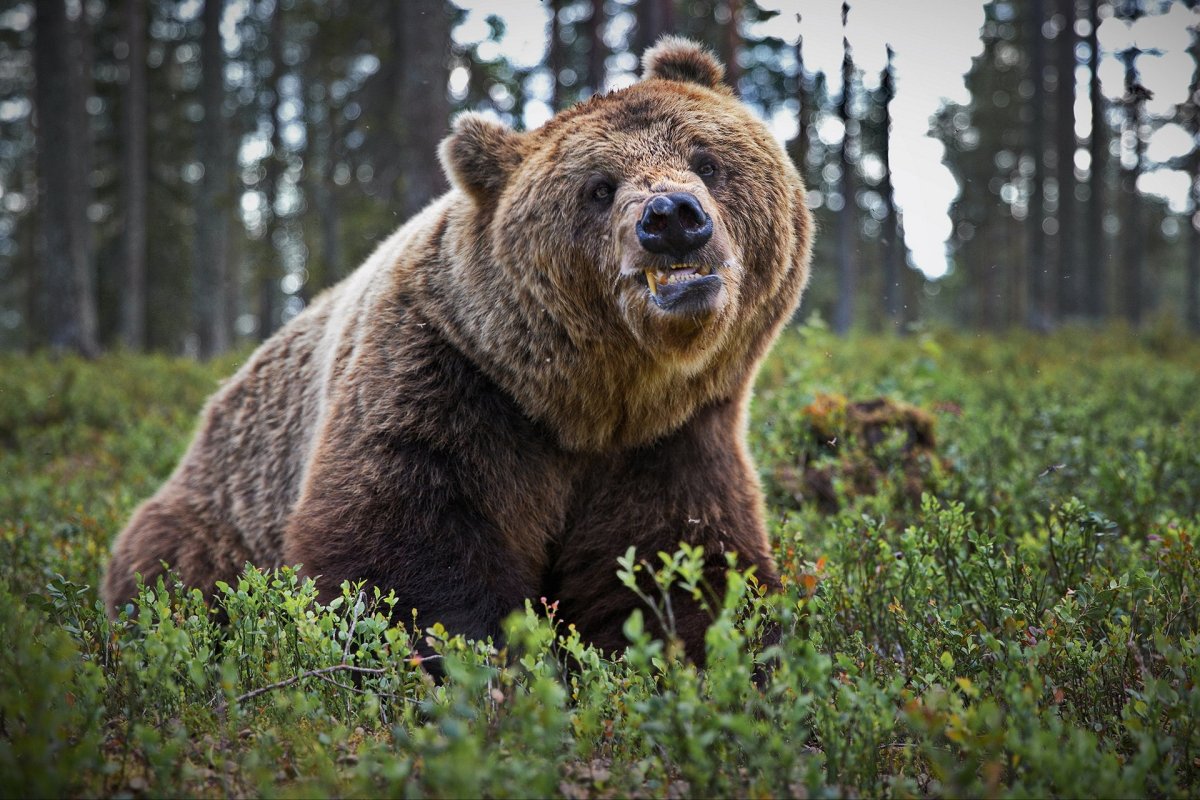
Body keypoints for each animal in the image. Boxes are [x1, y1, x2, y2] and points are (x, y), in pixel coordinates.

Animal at [103, 37, 813, 665]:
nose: (670, 218)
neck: (590, 403)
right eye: (599, 187)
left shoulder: (672, 440)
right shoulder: (447, 386)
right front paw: (481, 668)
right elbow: (402, 556)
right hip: (218, 518)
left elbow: (678, 564)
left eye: (706, 158)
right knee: (173, 571)